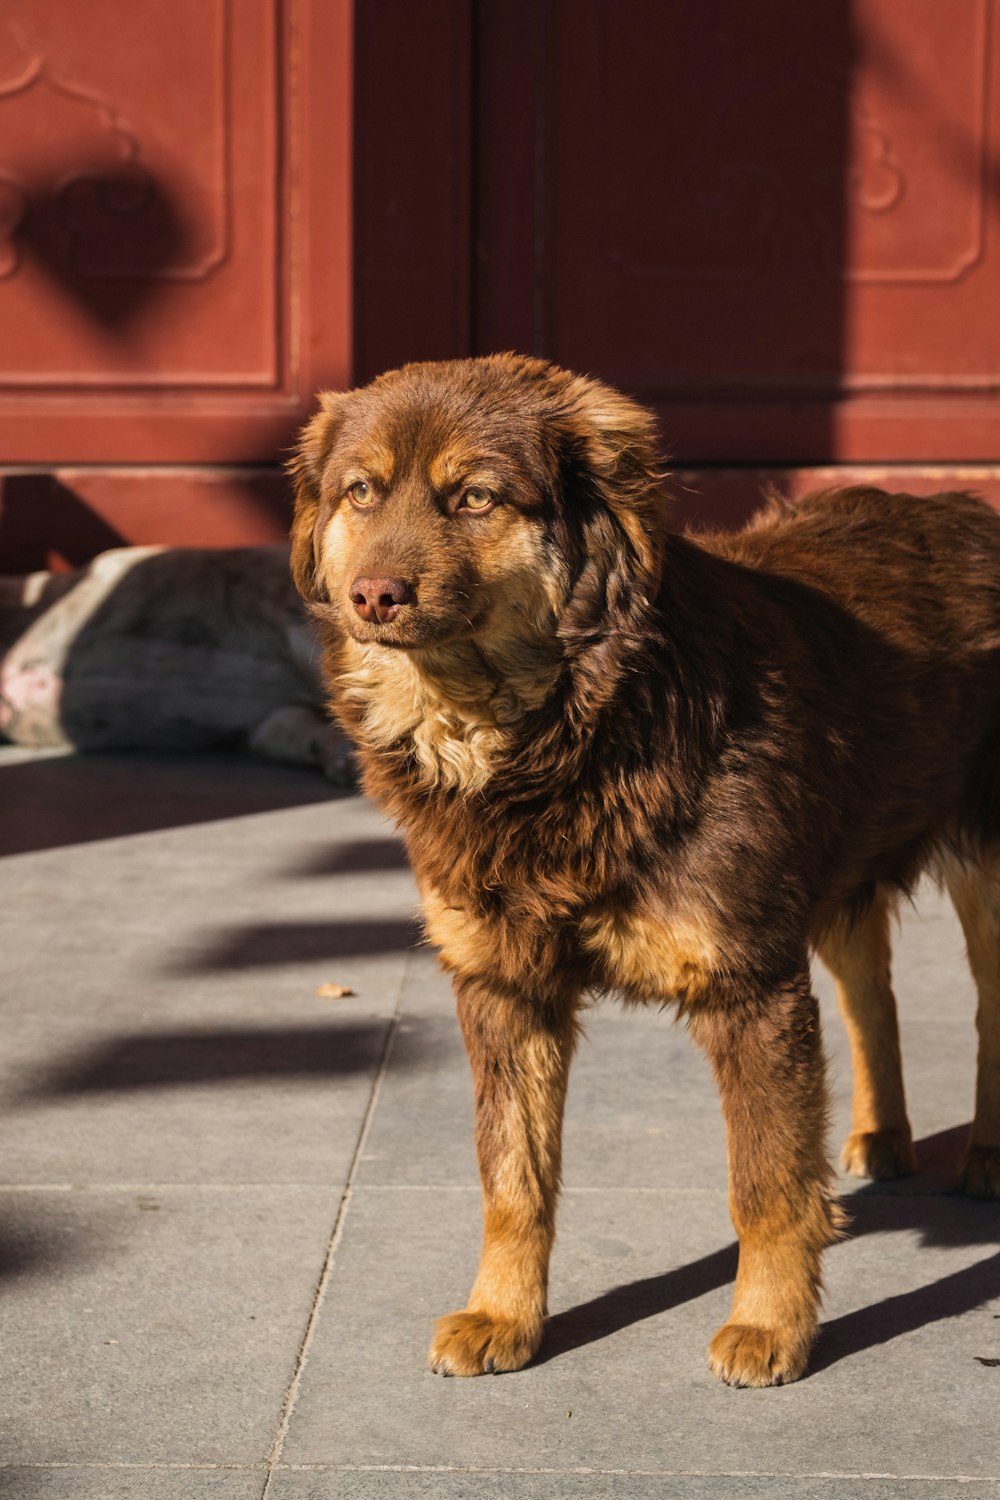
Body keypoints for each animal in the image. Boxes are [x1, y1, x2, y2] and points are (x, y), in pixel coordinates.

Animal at [289, 357, 1000, 1386]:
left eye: (475, 497)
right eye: (360, 492)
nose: (374, 596)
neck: (550, 743)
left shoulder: (749, 981)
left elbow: (766, 1185)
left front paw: (772, 1327)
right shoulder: (503, 984)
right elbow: (513, 1177)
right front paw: (503, 1314)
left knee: (988, 1010)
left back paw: (986, 1154)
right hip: (835, 867)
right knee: (875, 993)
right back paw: (883, 1137)